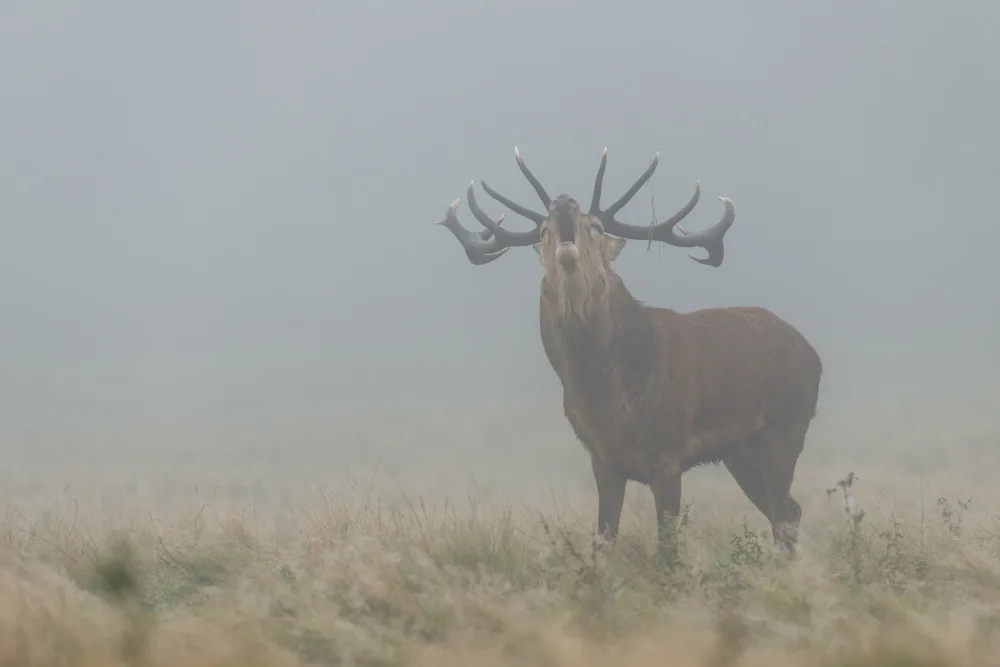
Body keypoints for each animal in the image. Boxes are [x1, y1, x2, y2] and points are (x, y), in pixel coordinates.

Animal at [432, 147, 822, 560]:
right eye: (542, 231)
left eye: (597, 227)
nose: (563, 201)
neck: (609, 395)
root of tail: (814, 356)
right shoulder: (601, 458)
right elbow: (603, 539)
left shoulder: (668, 451)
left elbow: (668, 546)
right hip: (739, 453)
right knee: (785, 511)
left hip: (785, 429)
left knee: (786, 512)